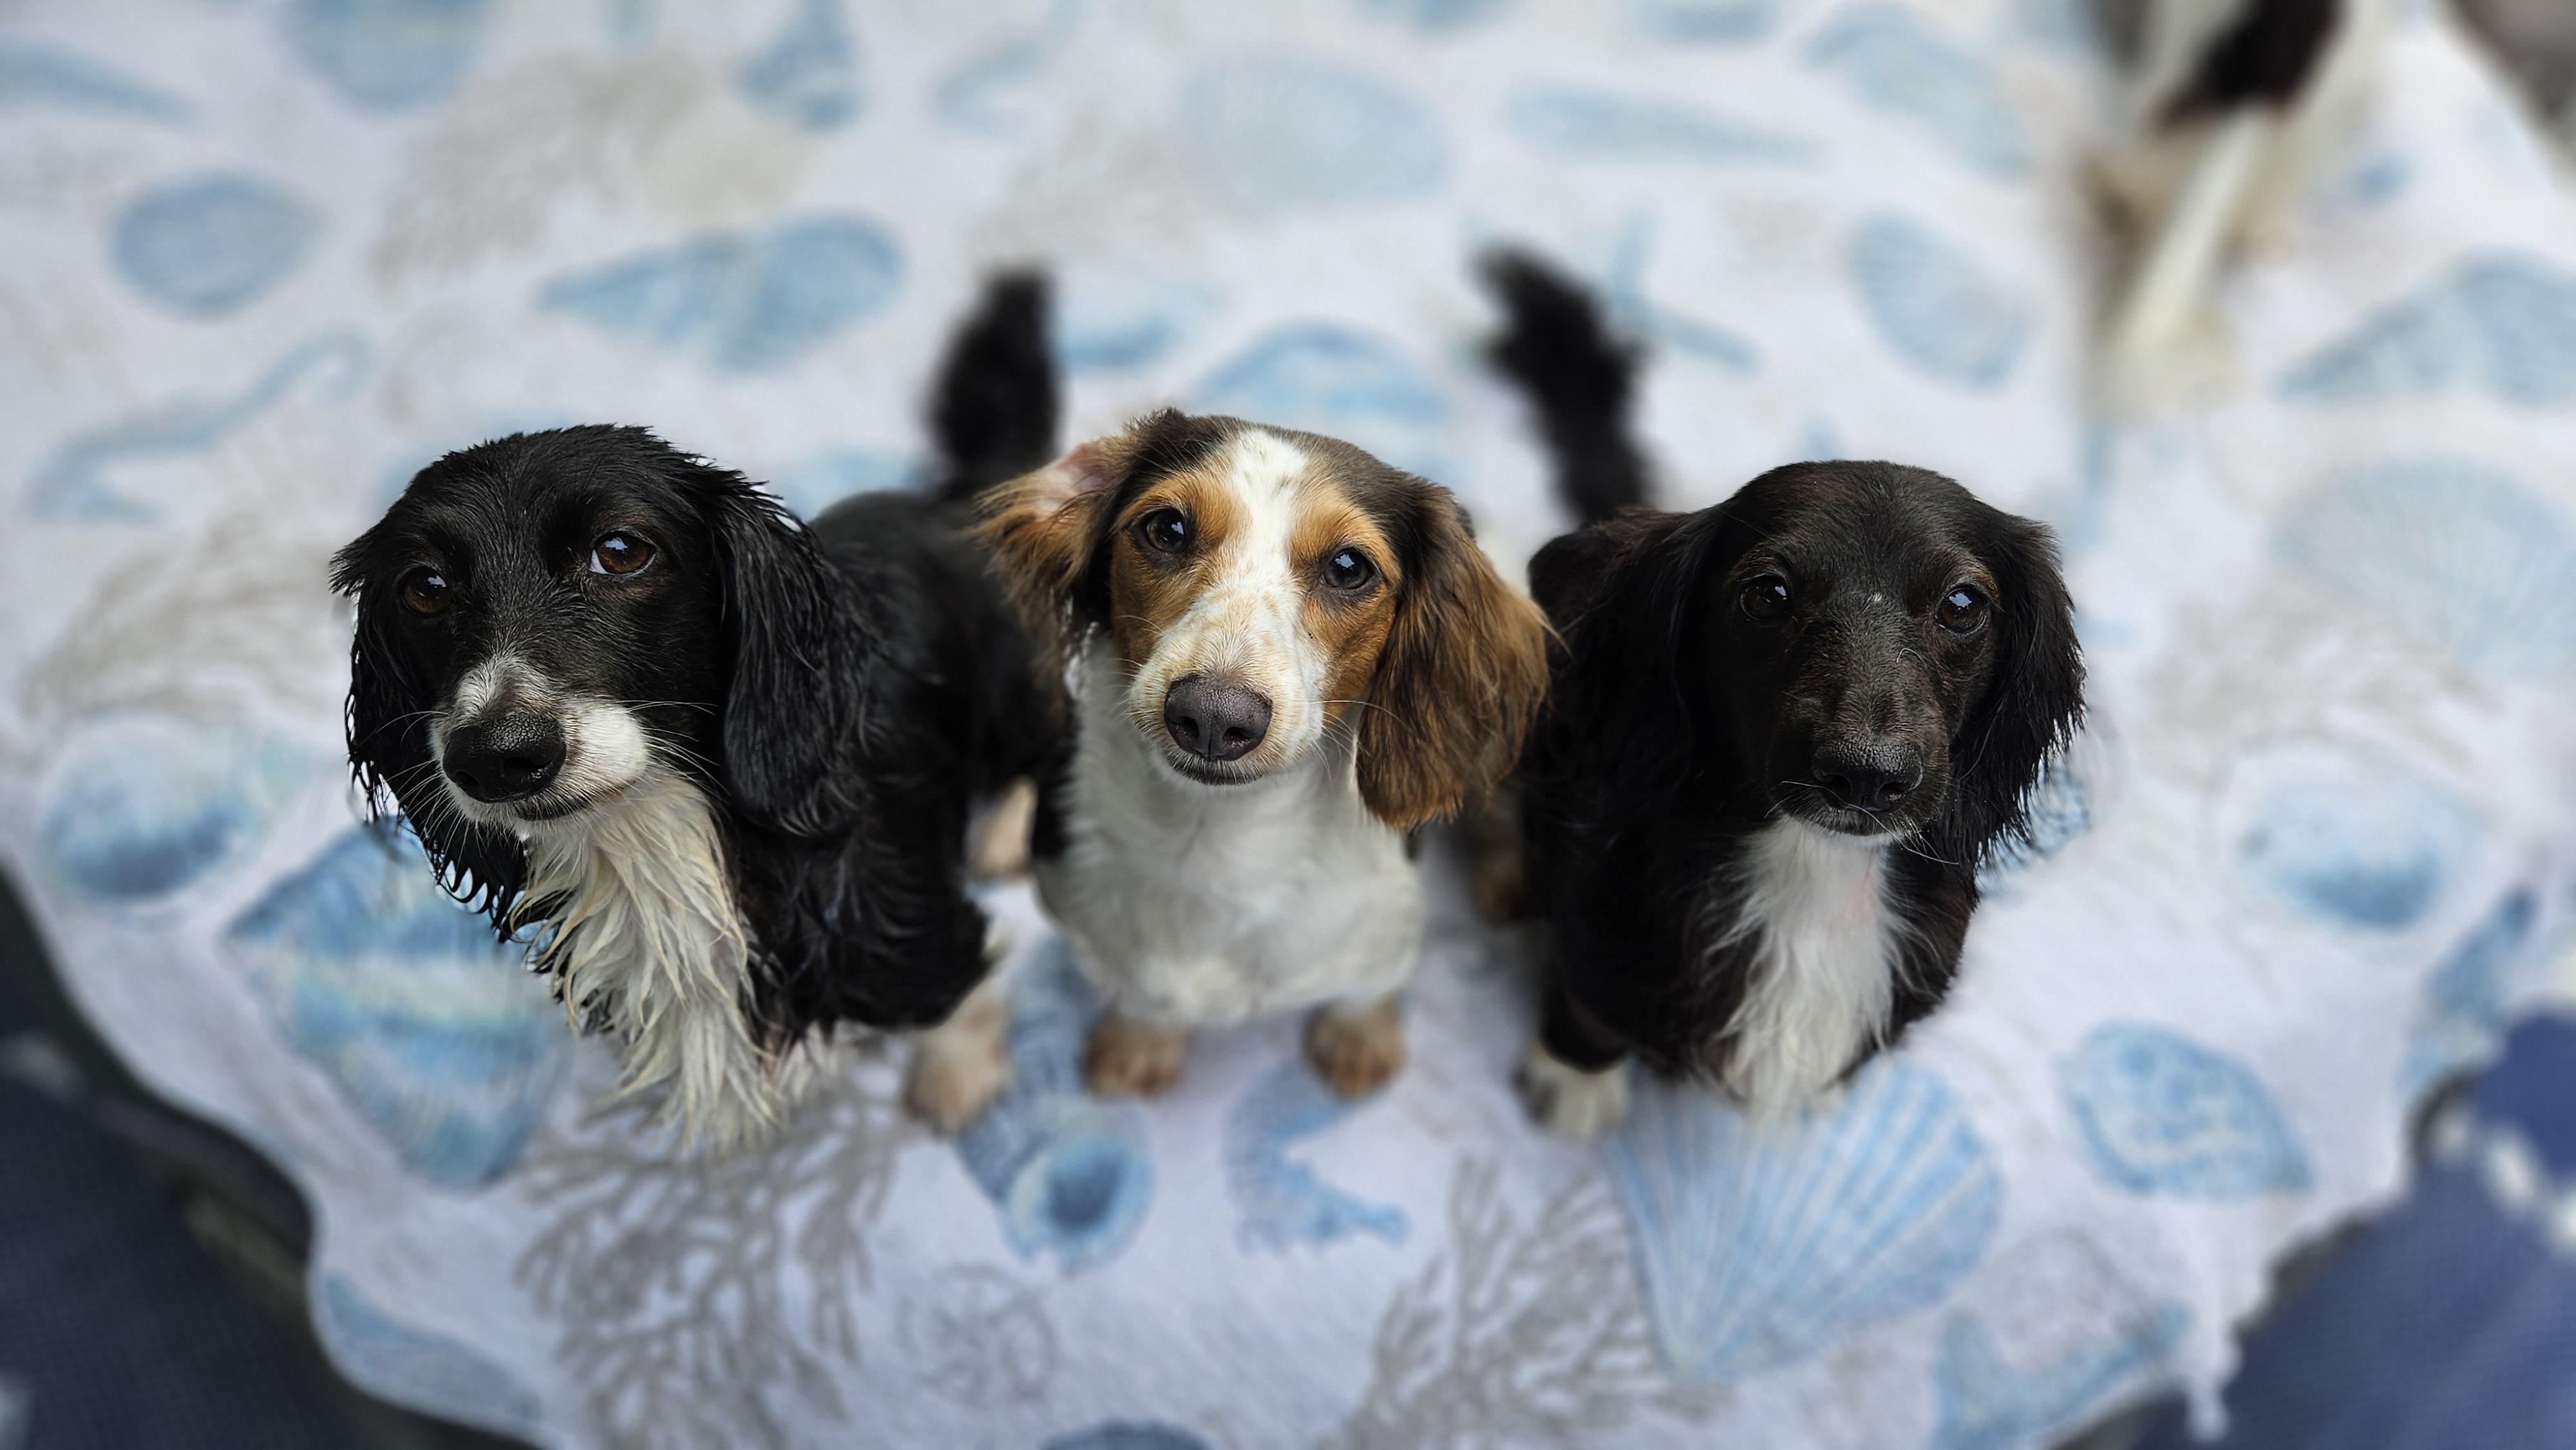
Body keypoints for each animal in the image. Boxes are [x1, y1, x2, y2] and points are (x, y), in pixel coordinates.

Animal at [331, 276, 1063, 1150]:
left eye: (620, 550)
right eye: (425, 587)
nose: (496, 755)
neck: (669, 842)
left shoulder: (915, 932)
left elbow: (956, 992)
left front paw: (957, 1075)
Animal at [921, 410, 1550, 1114]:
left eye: (1348, 566)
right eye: (1167, 528)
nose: (1214, 718)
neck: (1212, 842)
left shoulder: (1386, 931)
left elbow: (1366, 989)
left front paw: (1358, 1039)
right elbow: (1139, 996)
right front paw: (1140, 1042)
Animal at [1485, 252, 2085, 1138]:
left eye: (1962, 604)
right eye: (1766, 594)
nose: (1865, 776)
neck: (1812, 868)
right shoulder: (1598, 921)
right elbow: (1591, 1005)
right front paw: (1575, 1077)